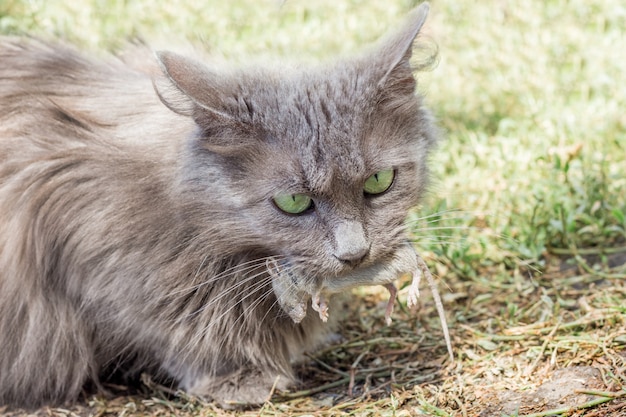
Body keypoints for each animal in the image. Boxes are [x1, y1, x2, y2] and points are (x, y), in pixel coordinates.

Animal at [0, 2, 436, 406]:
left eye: (379, 182)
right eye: (294, 202)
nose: (355, 253)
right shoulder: (76, 231)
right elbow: (177, 326)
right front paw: (240, 378)